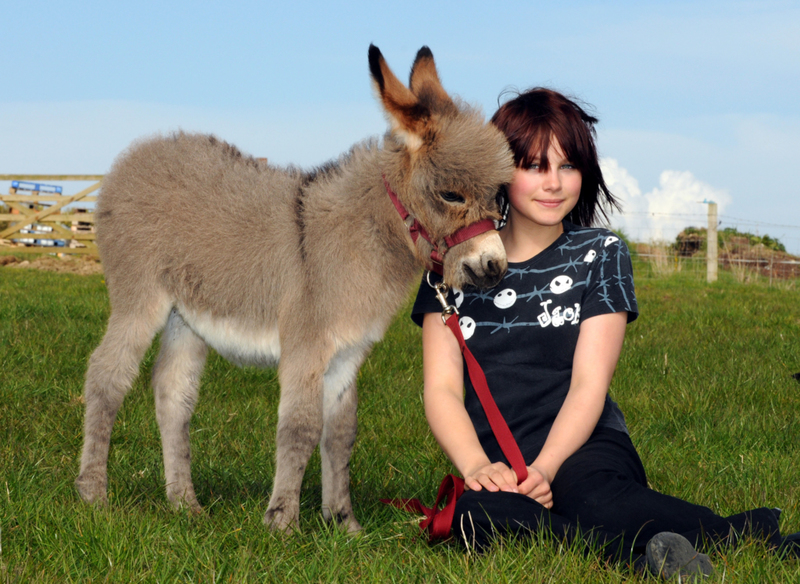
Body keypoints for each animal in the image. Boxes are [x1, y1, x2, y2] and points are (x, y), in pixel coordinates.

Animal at [75, 45, 512, 532]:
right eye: (451, 195)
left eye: (498, 196)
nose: (495, 267)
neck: (362, 238)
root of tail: (136, 155)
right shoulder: (307, 345)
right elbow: (300, 427)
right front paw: (282, 522)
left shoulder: (347, 355)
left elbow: (340, 434)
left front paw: (344, 524)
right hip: (140, 297)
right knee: (106, 377)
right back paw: (93, 495)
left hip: (184, 317)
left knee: (173, 394)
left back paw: (184, 503)